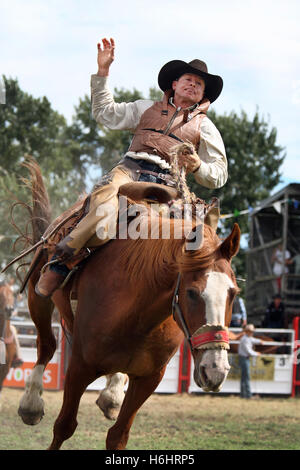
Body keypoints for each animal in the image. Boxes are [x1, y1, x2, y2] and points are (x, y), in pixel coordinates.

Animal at [8, 161, 239, 448]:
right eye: (192, 293)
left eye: (233, 293)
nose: (215, 370)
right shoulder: (79, 367)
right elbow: (64, 426)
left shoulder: (149, 379)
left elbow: (118, 435)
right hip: (37, 297)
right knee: (47, 345)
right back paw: (31, 404)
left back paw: (112, 394)